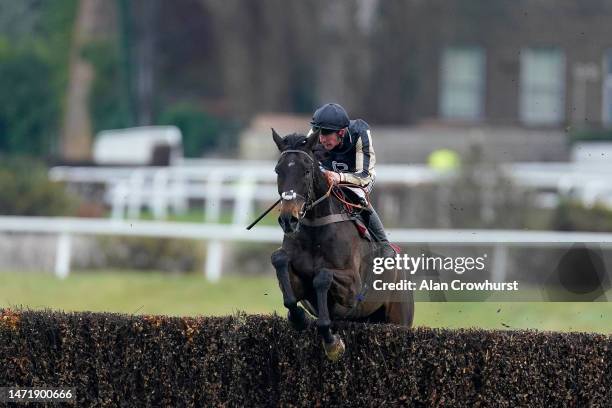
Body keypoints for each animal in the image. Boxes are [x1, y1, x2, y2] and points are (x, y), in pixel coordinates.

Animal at [270, 128, 414, 360]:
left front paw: (332, 343)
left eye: (307, 171)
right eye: (278, 170)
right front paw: (299, 318)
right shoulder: (298, 282)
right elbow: (280, 259)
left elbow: (323, 276)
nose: (288, 219)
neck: (316, 229)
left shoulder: (352, 288)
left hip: (400, 317)